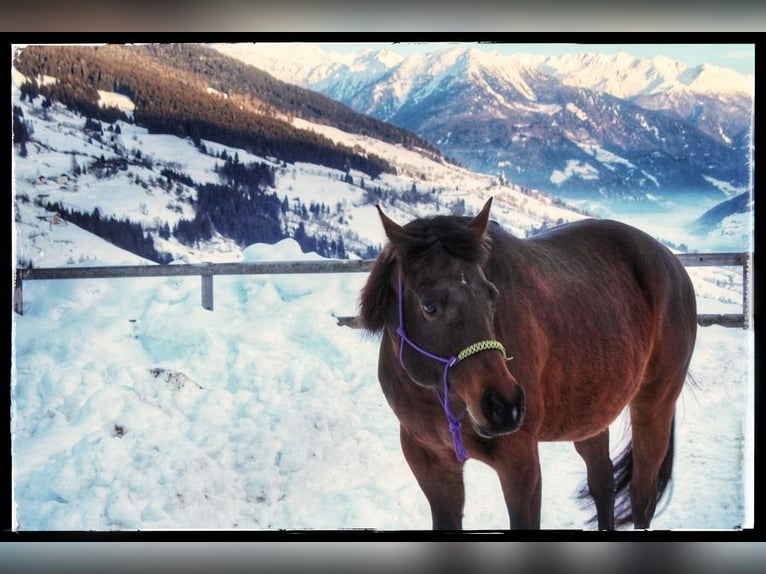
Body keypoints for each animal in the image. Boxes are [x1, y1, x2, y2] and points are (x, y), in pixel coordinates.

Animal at [356, 198, 700, 532]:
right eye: (429, 306)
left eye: (492, 295)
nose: (504, 405)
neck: (439, 397)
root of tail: (672, 263)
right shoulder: (431, 466)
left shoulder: (519, 463)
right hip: (591, 413)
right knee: (603, 485)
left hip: (653, 406)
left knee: (642, 497)